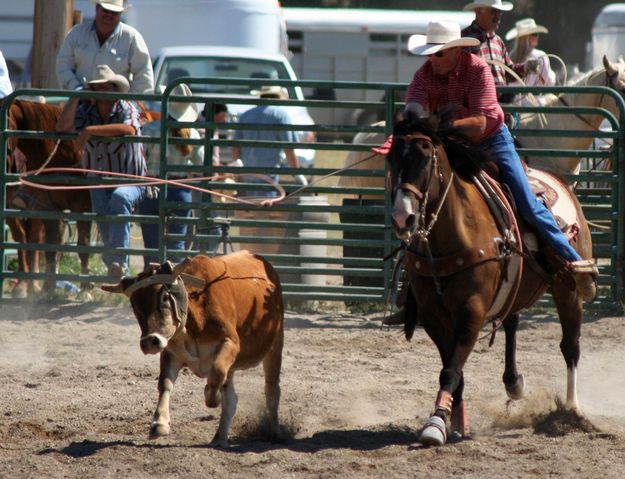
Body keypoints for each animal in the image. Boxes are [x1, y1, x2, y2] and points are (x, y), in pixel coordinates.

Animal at [4, 100, 92, 296]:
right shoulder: (46, 206)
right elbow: (48, 246)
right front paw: (45, 289)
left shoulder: (83, 206)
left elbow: (82, 246)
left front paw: (85, 289)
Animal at [103, 253, 284, 448]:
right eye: (134, 305)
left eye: (164, 297)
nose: (149, 342)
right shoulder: (171, 353)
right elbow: (165, 383)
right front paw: (159, 424)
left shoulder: (230, 343)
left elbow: (216, 374)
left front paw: (211, 396)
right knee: (231, 399)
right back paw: (219, 438)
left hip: (275, 345)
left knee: (272, 390)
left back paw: (275, 431)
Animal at [388, 114, 592, 448]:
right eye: (391, 159)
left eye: (426, 160)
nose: (402, 217)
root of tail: (560, 180)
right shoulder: (432, 316)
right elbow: (454, 368)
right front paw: (455, 421)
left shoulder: (471, 310)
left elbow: (450, 370)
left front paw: (435, 424)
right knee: (512, 322)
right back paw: (514, 383)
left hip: (568, 292)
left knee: (570, 346)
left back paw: (572, 410)